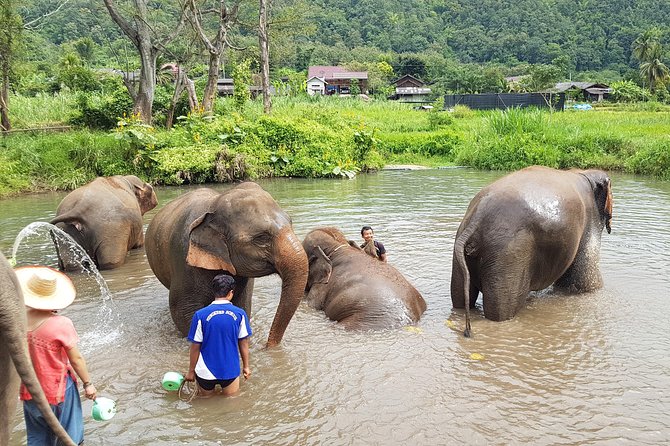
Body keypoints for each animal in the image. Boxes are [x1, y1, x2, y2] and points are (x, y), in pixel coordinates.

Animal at [146, 182, 308, 348]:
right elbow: (183, 312)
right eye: (261, 237)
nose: (267, 347)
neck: (212, 206)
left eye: (291, 222)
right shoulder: (183, 260)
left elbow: (242, 306)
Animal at [452, 166, 616, 336]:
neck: (583, 172)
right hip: (509, 256)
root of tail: (478, 216)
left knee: (459, 298)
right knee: (500, 312)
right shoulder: (590, 222)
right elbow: (585, 279)